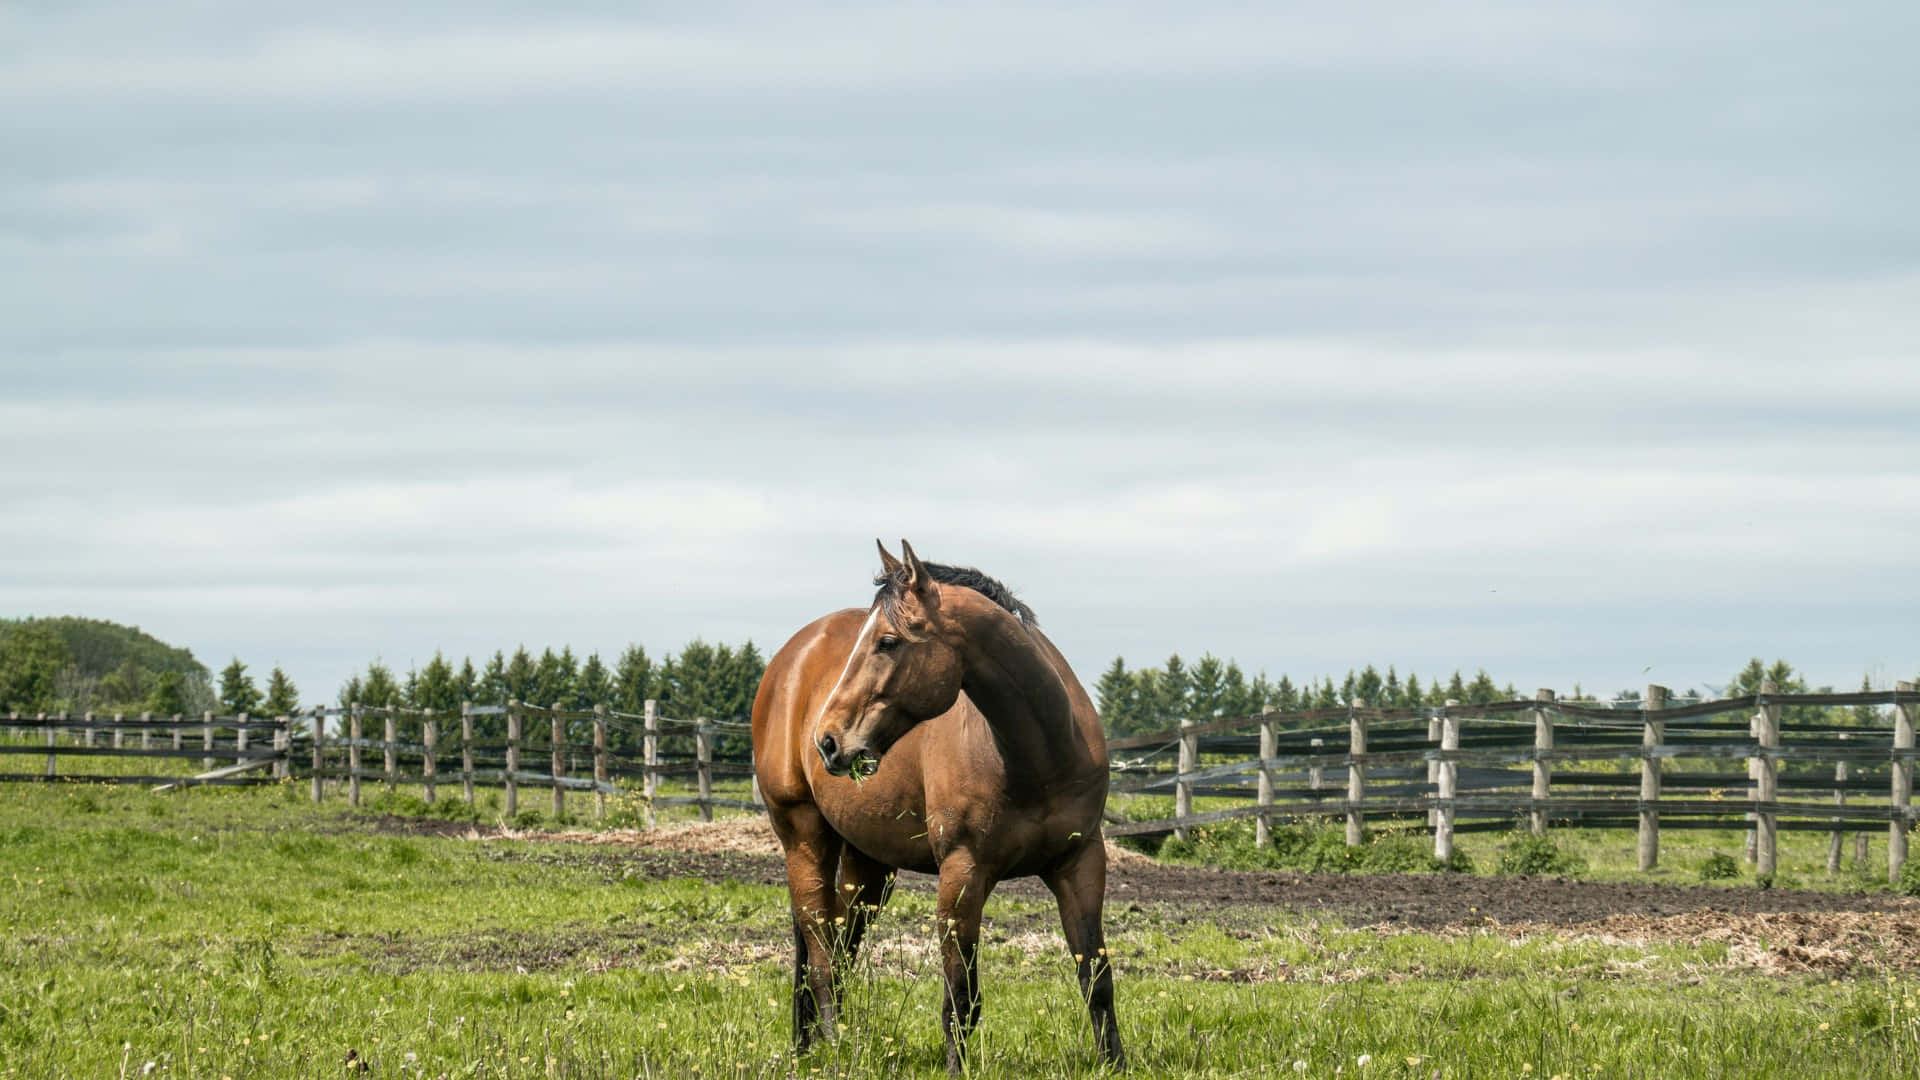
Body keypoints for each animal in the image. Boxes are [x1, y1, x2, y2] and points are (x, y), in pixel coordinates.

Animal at [751, 540, 1124, 1072]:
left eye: (888, 642)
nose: (827, 741)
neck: (1037, 756)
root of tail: (790, 659)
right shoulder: (962, 873)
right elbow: (961, 996)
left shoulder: (1081, 863)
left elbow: (1096, 979)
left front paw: (1116, 1064)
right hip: (804, 837)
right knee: (821, 955)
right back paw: (837, 1050)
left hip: (868, 866)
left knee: (838, 950)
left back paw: (812, 1046)